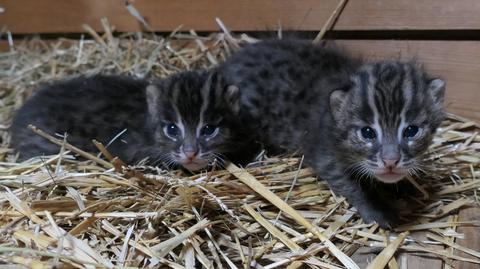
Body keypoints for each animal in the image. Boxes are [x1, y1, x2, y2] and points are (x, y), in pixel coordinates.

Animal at [216, 38, 444, 226]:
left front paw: (407, 185)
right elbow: (353, 187)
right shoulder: (327, 159)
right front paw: (377, 209)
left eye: (411, 131)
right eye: (367, 133)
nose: (390, 161)